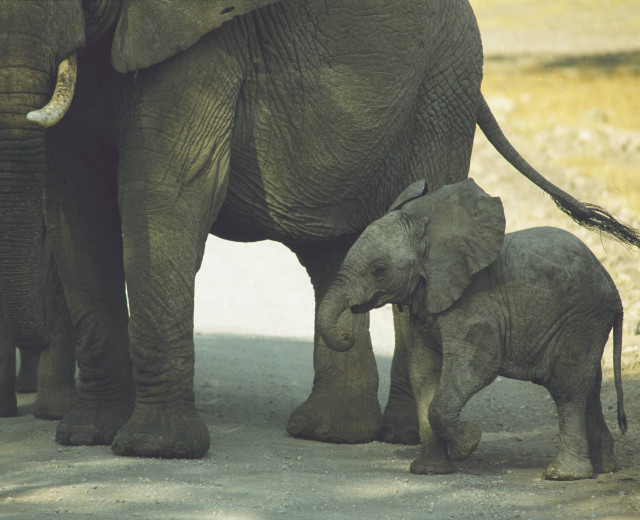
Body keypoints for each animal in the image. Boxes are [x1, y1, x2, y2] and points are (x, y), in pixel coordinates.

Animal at [318, 178, 628, 480]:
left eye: (379, 270)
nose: (346, 333)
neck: (431, 236)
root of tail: (614, 290)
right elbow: (422, 372)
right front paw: (430, 471)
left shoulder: (474, 305)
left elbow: (479, 365)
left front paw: (468, 442)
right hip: (588, 322)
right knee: (589, 388)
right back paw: (604, 467)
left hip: (581, 317)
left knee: (568, 388)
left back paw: (564, 474)